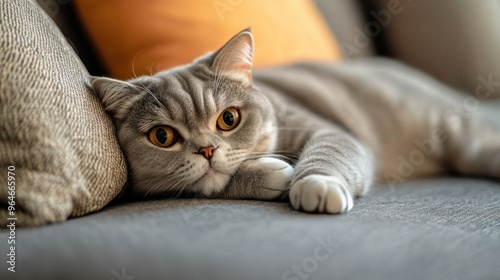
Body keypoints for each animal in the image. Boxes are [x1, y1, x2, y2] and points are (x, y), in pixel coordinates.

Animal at [91, 28, 500, 213]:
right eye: (162, 136)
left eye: (228, 119)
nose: (207, 150)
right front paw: (267, 174)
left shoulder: (327, 130)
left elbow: (329, 152)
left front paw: (315, 183)